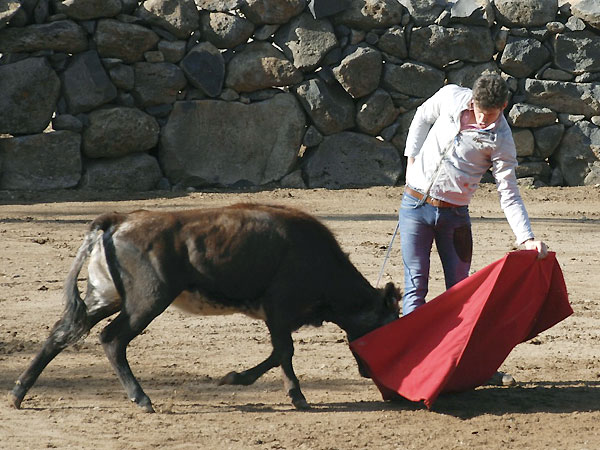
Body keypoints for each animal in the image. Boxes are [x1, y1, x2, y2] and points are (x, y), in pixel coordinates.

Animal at [8, 204, 398, 412]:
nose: (369, 374)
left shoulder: (278, 315)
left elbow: (281, 353)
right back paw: (142, 399)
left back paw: (18, 393)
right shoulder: (279, 309)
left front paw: (288, 394)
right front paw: (254, 383)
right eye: (389, 321)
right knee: (112, 339)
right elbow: (283, 351)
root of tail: (119, 219)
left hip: (104, 296)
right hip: (147, 301)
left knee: (61, 333)